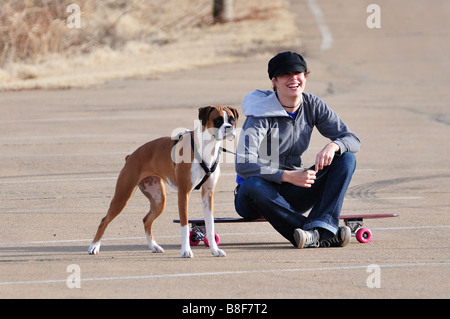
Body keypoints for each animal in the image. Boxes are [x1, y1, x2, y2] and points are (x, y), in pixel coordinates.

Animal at [85, 106, 237, 258]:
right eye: (218, 120)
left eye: (231, 120)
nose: (229, 127)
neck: (207, 147)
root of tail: (130, 156)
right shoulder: (183, 194)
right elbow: (184, 225)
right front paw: (186, 251)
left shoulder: (208, 195)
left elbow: (210, 225)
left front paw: (215, 250)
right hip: (122, 196)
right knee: (104, 220)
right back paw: (94, 246)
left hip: (159, 200)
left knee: (146, 221)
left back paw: (154, 246)